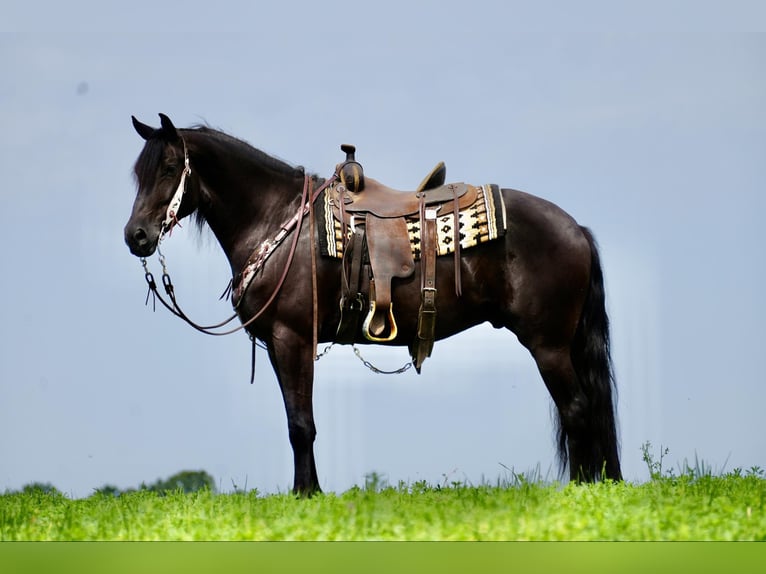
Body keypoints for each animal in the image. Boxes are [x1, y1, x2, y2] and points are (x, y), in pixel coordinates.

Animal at [124, 113, 621, 495]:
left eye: (170, 167)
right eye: (139, 173)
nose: (136, 236)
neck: (278, 220)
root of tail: (575, 229)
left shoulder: (292, 337)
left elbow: (300, 424)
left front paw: (305, 495)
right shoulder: (284, 345)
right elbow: (298, 421)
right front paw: (310, 491)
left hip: (548, 345)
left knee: (577, 409)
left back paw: (583, 488)